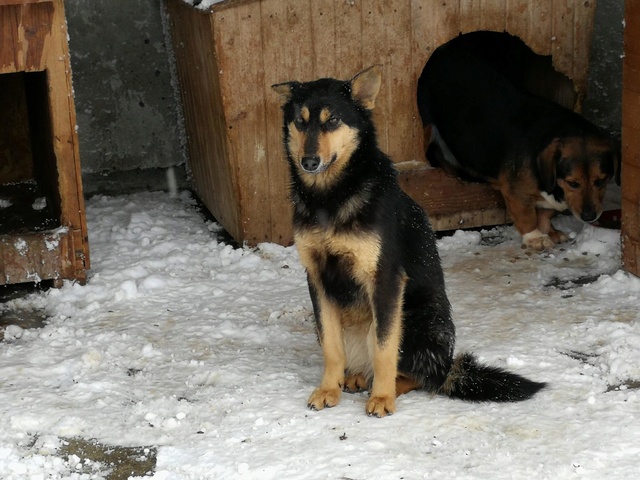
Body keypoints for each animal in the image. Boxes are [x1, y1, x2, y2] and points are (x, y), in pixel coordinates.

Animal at [270, 65, 544, 418]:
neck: (330, 198)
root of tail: (447, 365)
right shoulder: (318, 280)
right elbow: (331, 347)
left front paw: (382, 397)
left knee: (424, 378)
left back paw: (384, 386)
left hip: (415, 319)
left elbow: (385, 348)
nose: (309, 162)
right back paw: (355, 378)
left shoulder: (385, 280)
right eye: (301, 122)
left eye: (333, 121)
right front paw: (329, 389)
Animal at [418, 32, 616, 251]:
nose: (590, 216)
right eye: (573, 183)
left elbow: (545, 214)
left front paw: (551, 231)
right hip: (428, 125)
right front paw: (535, 237)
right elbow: (527, 216)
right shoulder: (516, 195)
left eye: (601, 181)